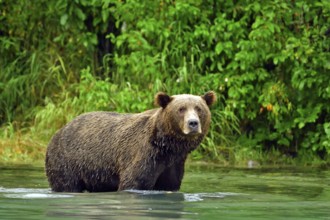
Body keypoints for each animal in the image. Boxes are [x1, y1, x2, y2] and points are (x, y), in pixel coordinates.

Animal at [45, 90, 217, 192]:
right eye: (181, 109)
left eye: (199, 108)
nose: (193, 123)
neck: (168, 147)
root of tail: (59, 131)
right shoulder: (143, 155)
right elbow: (134, 181)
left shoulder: (173, 165)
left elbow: (170, 184)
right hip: (67, 161)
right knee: (66, 184)